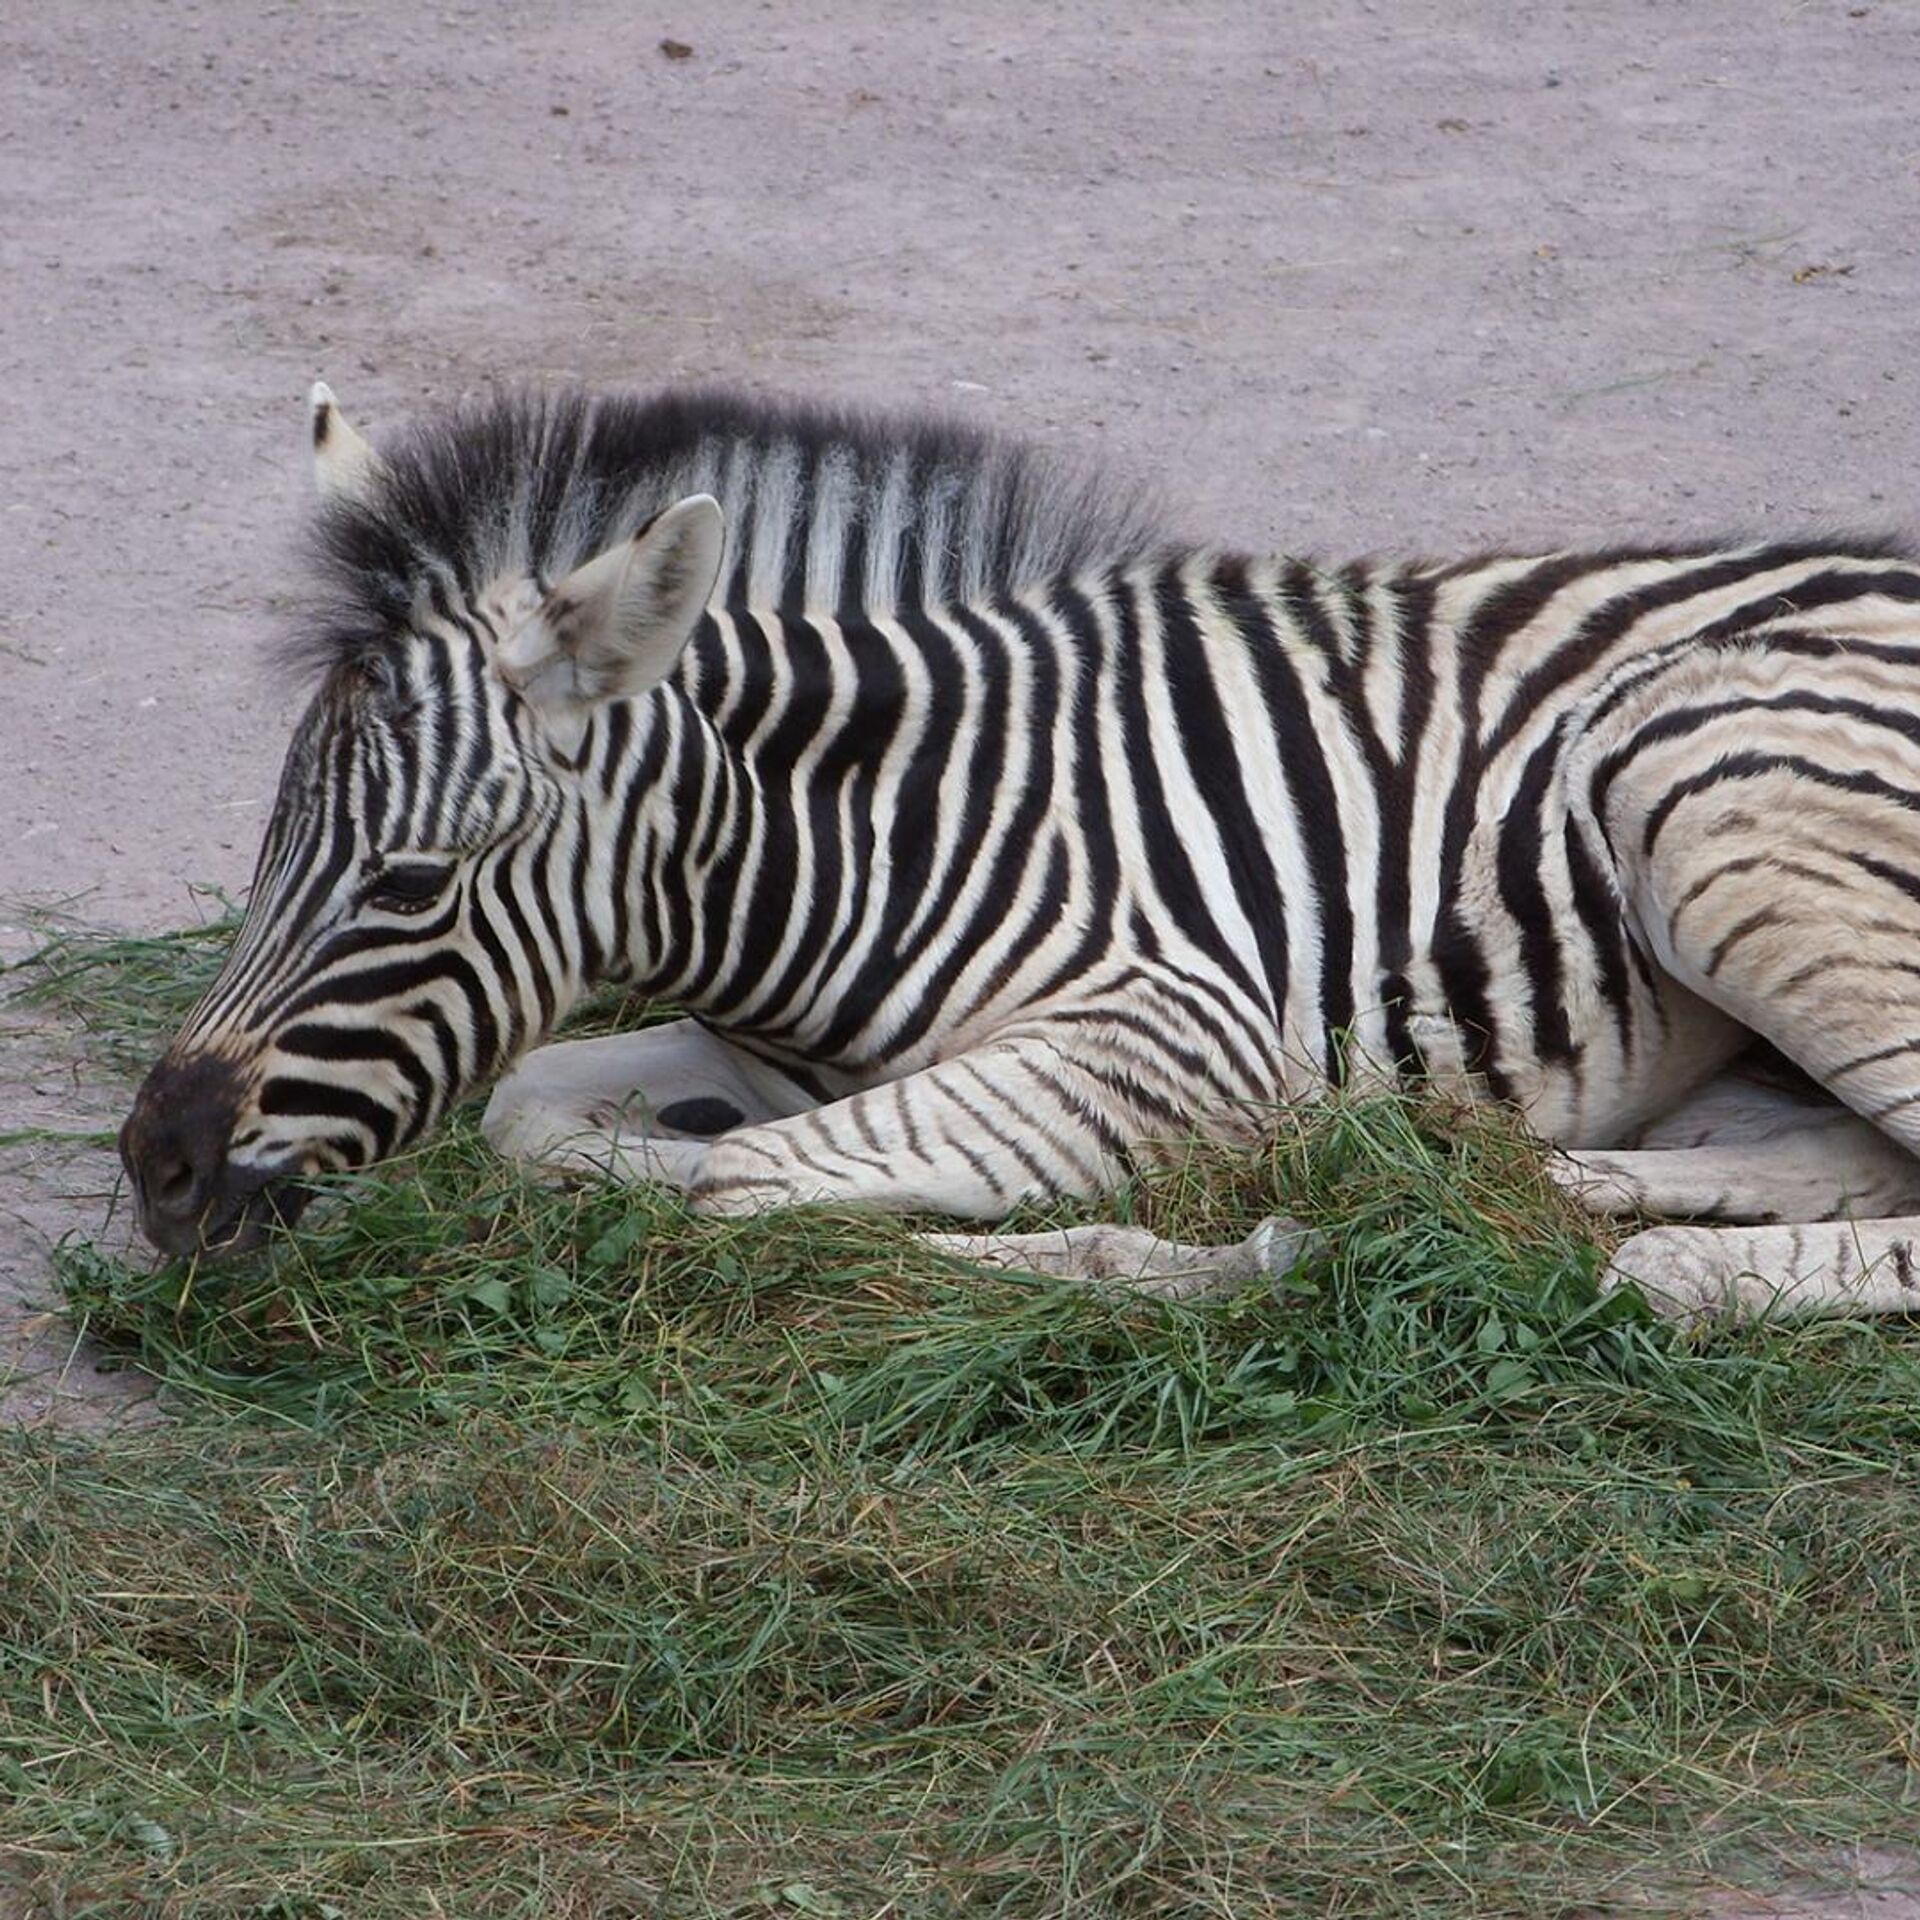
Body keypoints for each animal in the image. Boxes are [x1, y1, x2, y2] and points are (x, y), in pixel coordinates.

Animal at [116, 384, 1920, 1328]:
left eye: (406, 886)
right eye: (270, 849)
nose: (155, 1168)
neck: (875, 835)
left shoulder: (1180, 1035)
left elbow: (743, 1194)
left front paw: (1219, 1248)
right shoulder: (749, 1051)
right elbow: (535, 1113)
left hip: (1708, 806)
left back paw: (1660, 1263)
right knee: (1849, 1154)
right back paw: (1545, 1182)